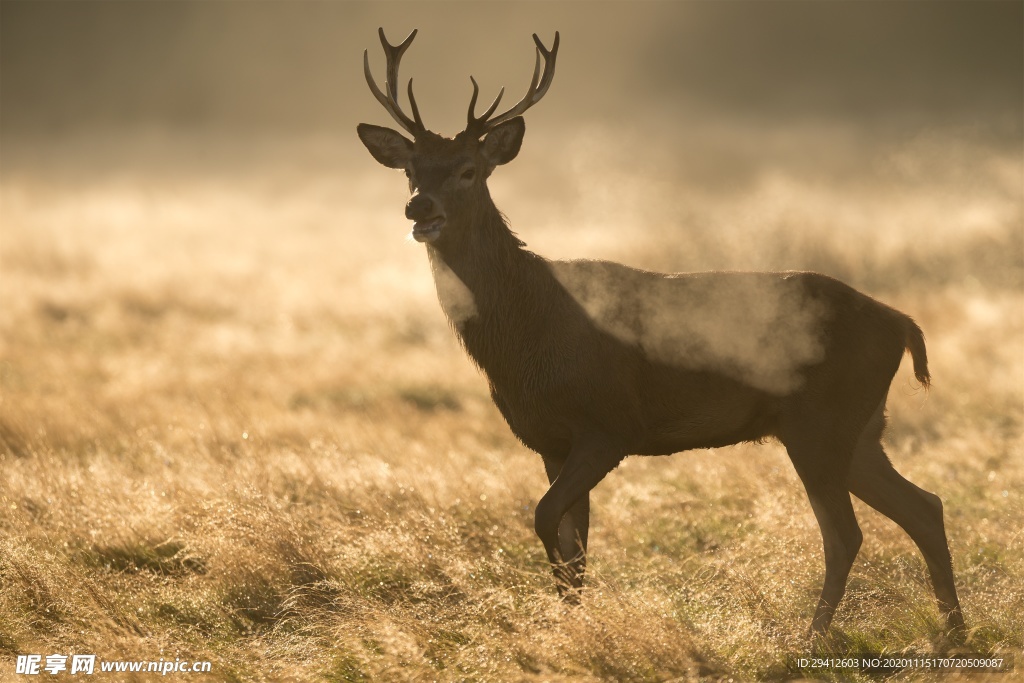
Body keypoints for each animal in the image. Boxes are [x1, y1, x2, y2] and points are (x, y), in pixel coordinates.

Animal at [356, 26, 962, 634]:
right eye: (411, 169)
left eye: (469, 169)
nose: (419, 208)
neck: (527, 333)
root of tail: (900, 323)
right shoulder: (550, 440)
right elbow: (572, 550)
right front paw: (573, 630)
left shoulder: (609, 423)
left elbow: (546, 518)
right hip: (859, 427)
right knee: (924, 507)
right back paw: (952, 629)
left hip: (821, 420)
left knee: (846, 534)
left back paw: (812, 638)